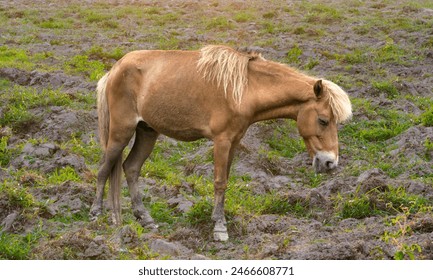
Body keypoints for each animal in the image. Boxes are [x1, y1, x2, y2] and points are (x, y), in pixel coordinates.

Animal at [90, 44, 352, 242]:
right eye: (323, 120)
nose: (330, 163)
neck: (246, 88)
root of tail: (115, 69)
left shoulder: (234, 142)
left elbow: (225, 181)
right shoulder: (222, 141)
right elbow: (219, 182)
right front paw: (220, 228)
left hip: (147, 132)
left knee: (131, 168)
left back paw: (145, 219)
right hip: (121, 132)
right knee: (104, 169)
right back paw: (96, 214)